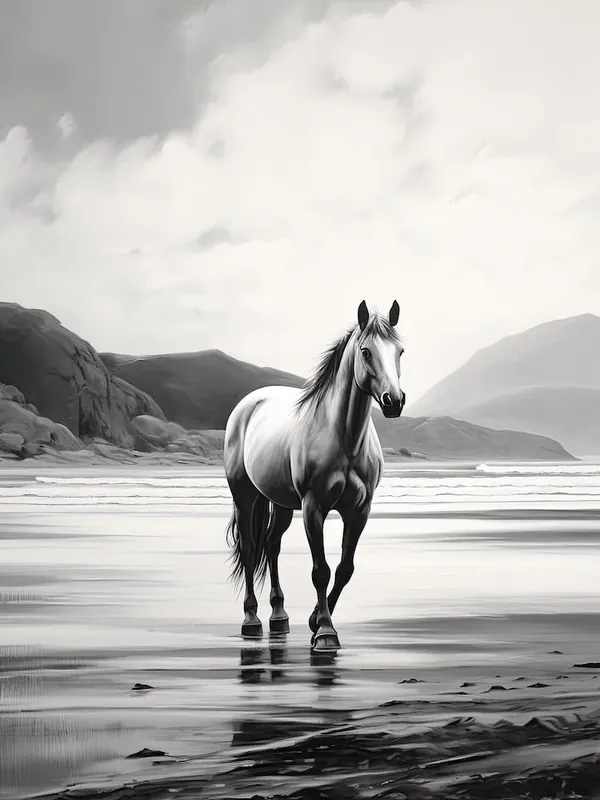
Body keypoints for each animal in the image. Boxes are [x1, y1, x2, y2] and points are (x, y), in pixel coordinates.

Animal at [223, 300, 405, 653]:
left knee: (272, 545)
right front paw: (324, 632)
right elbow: (320, 570)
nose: (394, 401)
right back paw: (251, 619)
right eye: (366, 352)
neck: (345, 439)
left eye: (400, 351)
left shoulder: (360, 510)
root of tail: (248, 403)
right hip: (244, 495)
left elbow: (345, 569)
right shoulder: (313, 507)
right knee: (251, 547)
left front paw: (314, 620)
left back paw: (279, 615)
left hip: (279, 502)